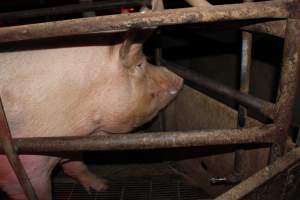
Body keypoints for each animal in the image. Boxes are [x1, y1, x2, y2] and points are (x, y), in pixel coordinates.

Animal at [0, 27, 183, 200]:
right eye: (139, 64)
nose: (179, 79)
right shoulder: (24, 166)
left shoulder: (70, 140)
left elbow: (77, 164)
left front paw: (103, 186)